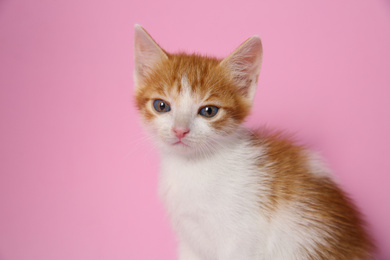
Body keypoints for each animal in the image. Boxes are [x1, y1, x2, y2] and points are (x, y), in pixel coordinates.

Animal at [133, 24, 374, 260]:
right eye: (161, 106)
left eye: (209, 111)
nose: (180, 130)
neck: (192, 167)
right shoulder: (189, 240)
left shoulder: (243, 238)